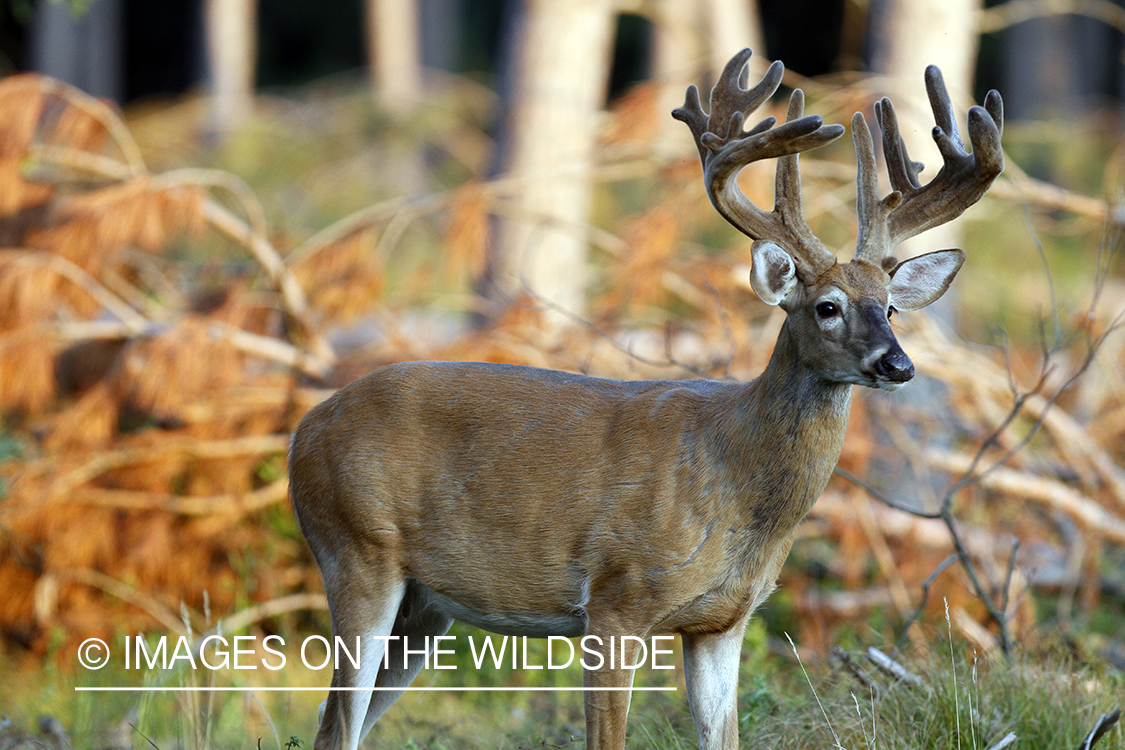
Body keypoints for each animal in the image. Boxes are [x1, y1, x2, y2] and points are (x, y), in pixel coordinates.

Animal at [288, 48, 1003, 750]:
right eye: (827, 307)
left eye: (891, 309)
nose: (898, 364)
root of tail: (304, 429)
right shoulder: (615, 598)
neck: (735, 477)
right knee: (335, 722)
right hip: (358, 549)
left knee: (341, 720)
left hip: (426, 607)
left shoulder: (724, 622)